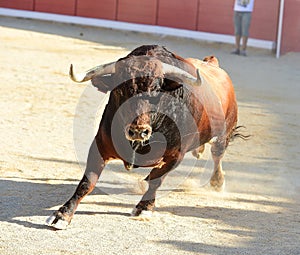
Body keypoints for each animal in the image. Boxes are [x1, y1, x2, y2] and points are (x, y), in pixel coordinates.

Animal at [46, 44, 239, 230]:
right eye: (119, 90)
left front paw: (144, 208)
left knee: (217, 154)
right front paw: (62, 215)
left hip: (224, 134)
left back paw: (217, 182)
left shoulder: (175, 155)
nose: (138, 131)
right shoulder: (100, 145)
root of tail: (212, 64)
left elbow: (156, 180)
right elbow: (88, 182)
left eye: (156, 90)